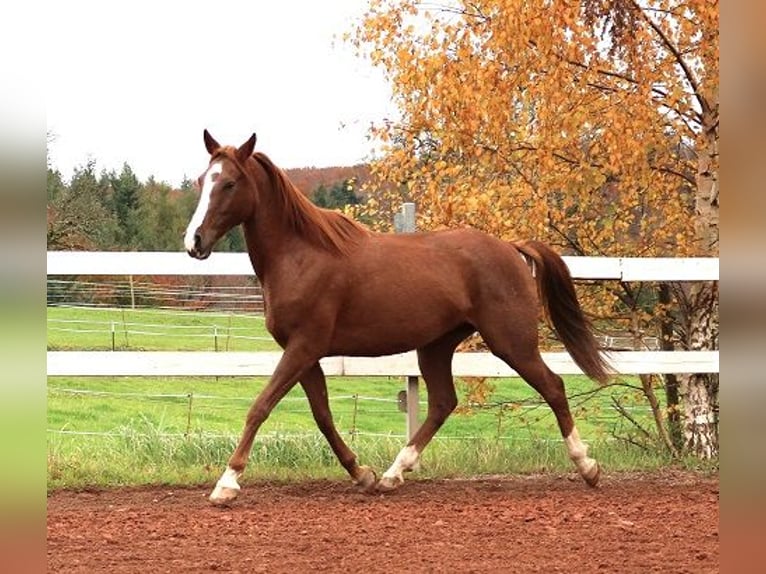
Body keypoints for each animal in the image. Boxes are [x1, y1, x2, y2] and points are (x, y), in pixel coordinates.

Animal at [184, 130, 612, 506]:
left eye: (230, 183)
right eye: (203, 180)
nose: (194, 242)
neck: (301, 255)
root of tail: (510, 247)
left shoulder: (304, 347)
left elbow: (261, 407)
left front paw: (226, 484)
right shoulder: (305, 353)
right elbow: (322, 415)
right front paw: (363, 475)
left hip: (512, 342)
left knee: (553, 386)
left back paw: (588, 467)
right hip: (436, 346)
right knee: (443, 403)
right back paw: (393, 474)